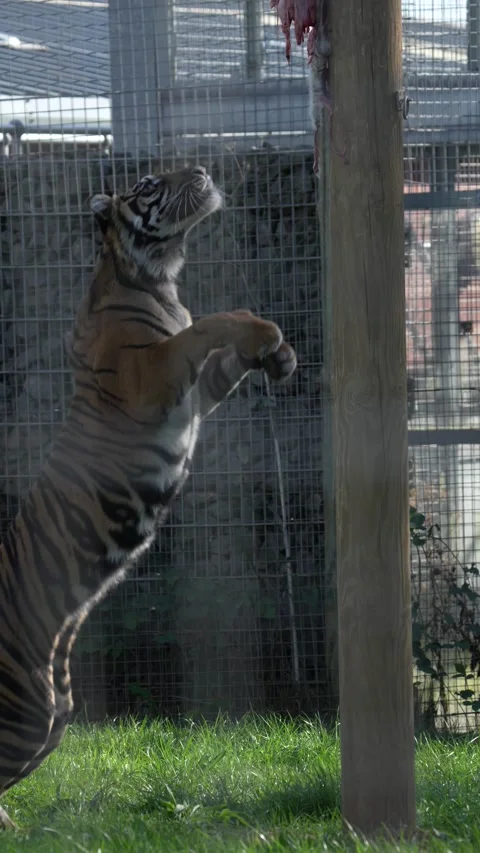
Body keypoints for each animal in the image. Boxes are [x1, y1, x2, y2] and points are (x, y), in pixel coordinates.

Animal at [0, 164, 297, 827]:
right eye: (147, 184)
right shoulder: (151, 376)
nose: (204, 170)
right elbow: (211, 322)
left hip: (54, 714)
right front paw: (265, 331)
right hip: (25, 712)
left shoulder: (197, 393)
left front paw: (275, 354)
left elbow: (222, 357)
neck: (158, 275)